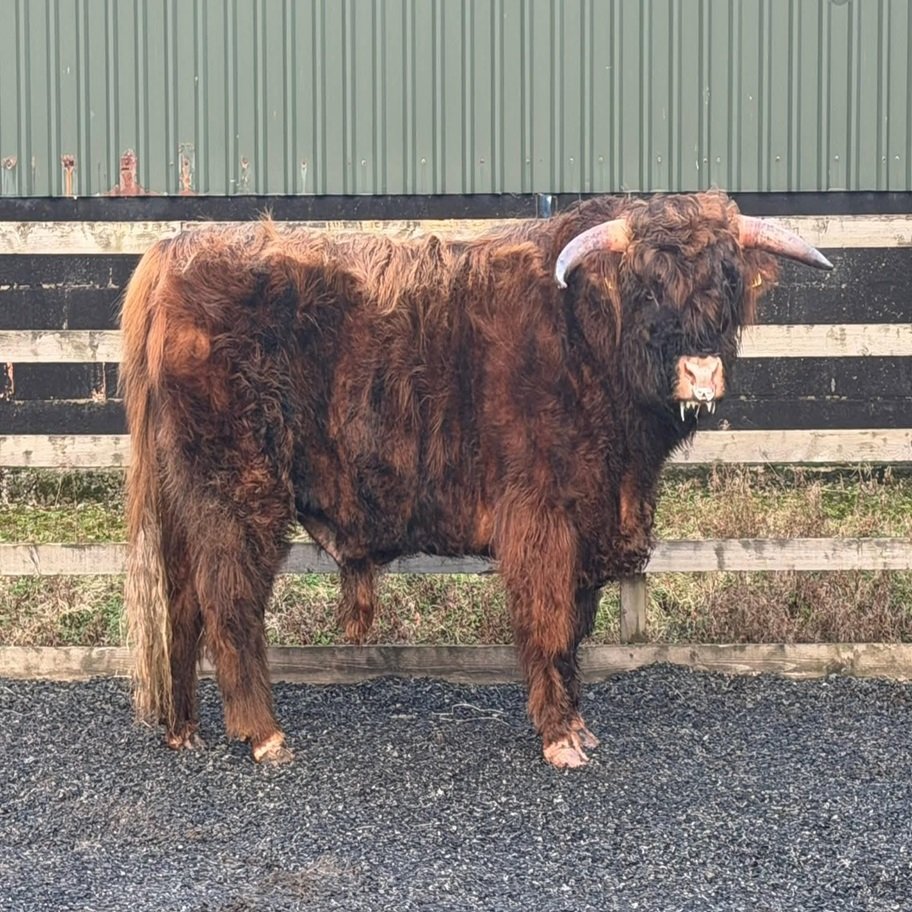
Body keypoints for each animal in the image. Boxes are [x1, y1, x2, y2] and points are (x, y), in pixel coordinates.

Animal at [120, 191, 831, 768]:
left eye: (728, 280)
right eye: (648, 287)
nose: (701, 373)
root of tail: (178, 250)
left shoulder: (589, 521)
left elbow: (576, 628)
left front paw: (578, 725)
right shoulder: (542, 519)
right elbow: (549, 623)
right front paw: (559, 738)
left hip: (188, 498)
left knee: (182, 601)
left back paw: (184, 730)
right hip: (239, 492)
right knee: (230, 602)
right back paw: (263, 735)